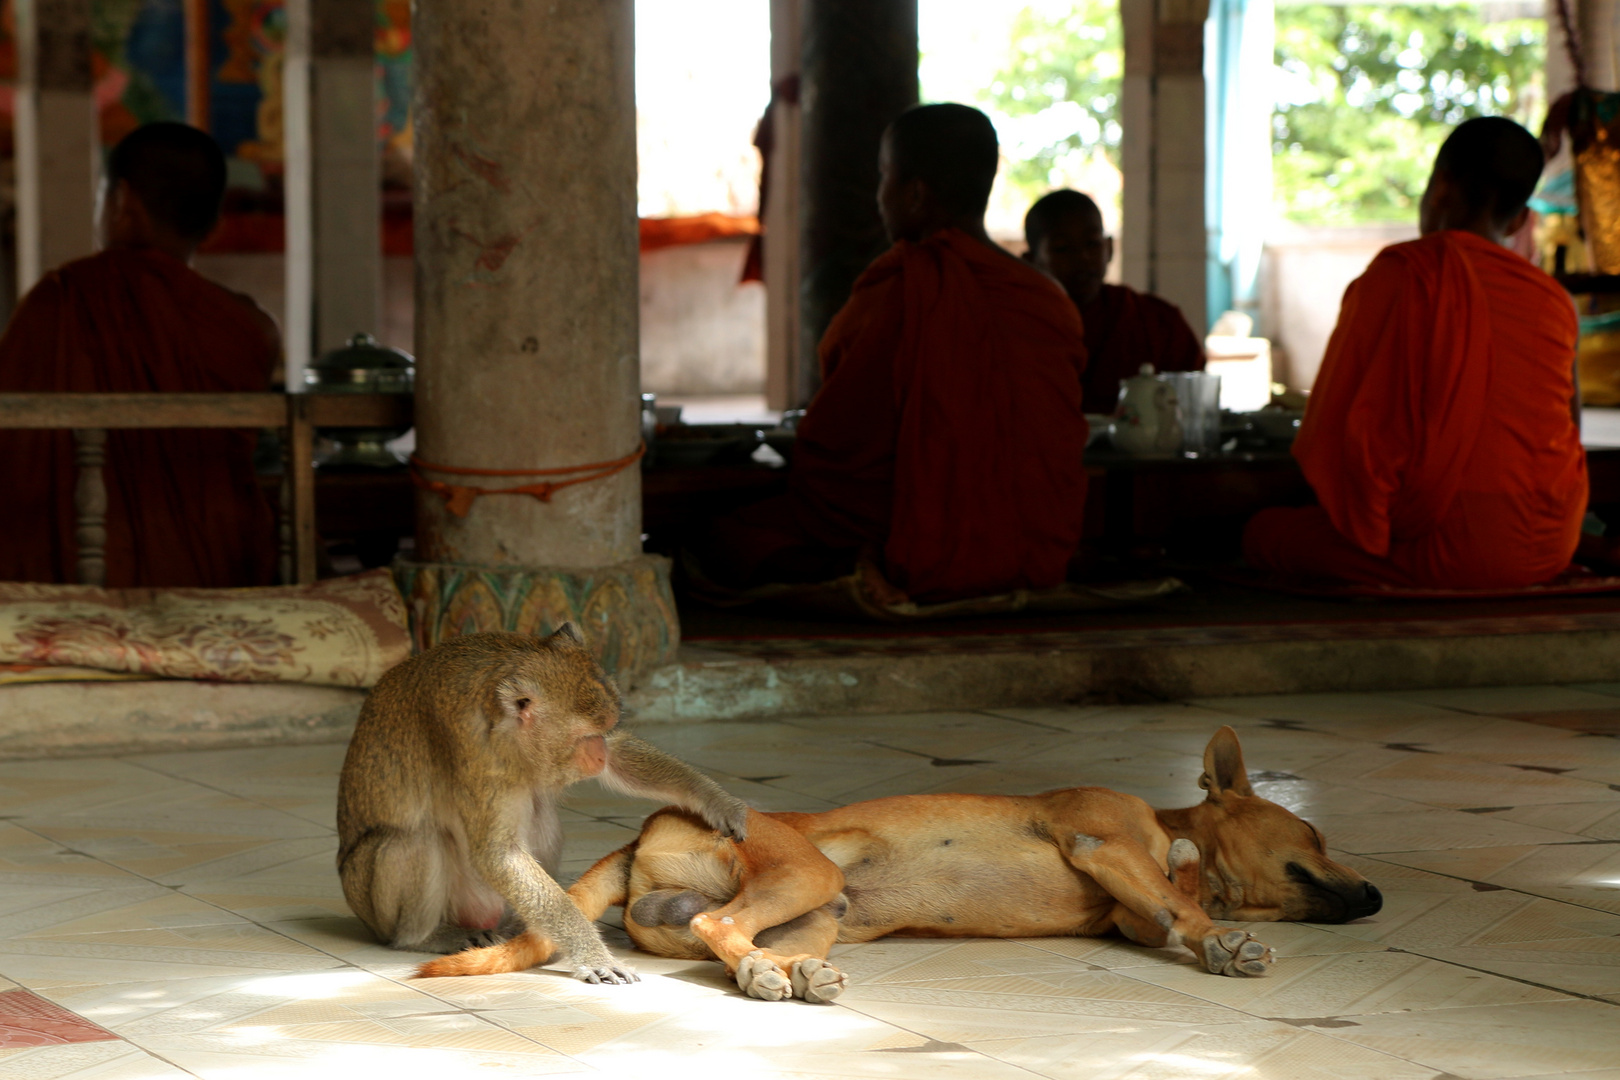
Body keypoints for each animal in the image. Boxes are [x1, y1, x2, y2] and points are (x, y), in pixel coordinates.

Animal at [340, 625, 751, 990]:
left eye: (603, 730)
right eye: (585, 737)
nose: (597, 752)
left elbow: (619, 755)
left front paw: (714, 799)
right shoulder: (474, 747)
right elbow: (497, 855)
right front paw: (592, 953)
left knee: (541, 813)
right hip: (374, 906)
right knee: (412, 840)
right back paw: (421, 937)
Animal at [417, 725, 1380, 1003]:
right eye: (1315, 834)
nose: (1375, 895)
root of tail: (646, 826)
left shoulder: (1129, 911)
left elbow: (1168, 900)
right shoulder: (1103, 844)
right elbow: (1187, 903)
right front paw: (1222, 938)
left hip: (820, 909)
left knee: (733, 940)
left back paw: (790, 974)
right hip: (808, 873)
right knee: (723, 922)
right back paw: (772, 974)